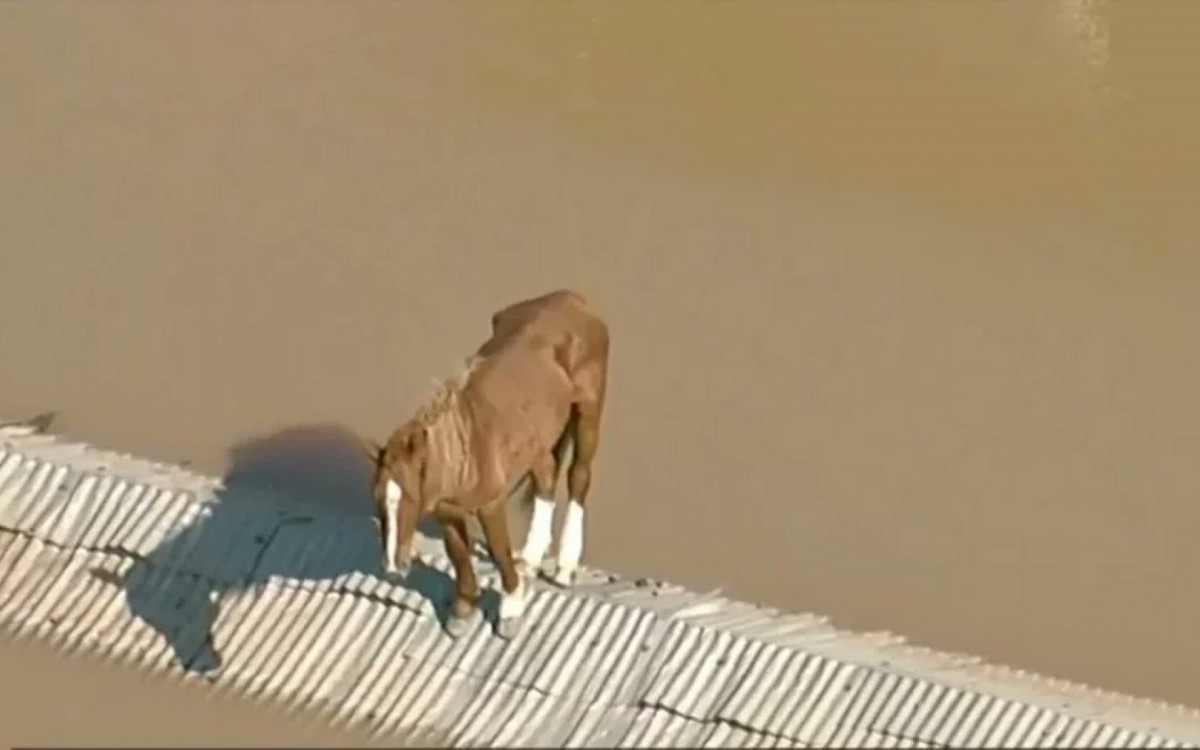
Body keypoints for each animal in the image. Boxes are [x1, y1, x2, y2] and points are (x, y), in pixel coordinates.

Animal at [366, 290, 609, 639]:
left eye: (409, 496)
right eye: (377, 499)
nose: (392, 567)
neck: (465, 446)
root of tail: (573, 299)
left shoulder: (491, 504)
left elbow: (498, 551)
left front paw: (511, 610)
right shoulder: (448, 511)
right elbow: (458, 554)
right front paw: (463, 612)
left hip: (588, 410)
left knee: (578, 476)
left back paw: (564, 567)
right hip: (538, 443)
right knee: (547, 477)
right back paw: (532, 558)